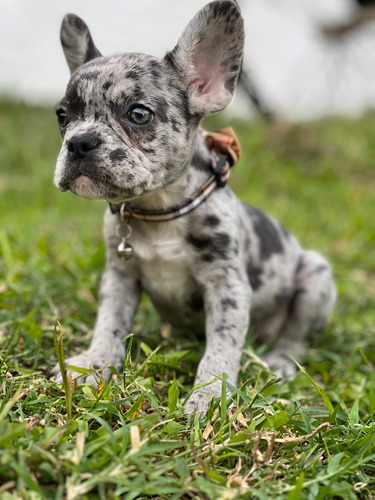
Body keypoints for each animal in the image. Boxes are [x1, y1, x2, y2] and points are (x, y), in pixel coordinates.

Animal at [51, 0, 336, 414]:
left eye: (139, 114)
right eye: (63, 115)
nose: (79, 142)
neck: (158, 209)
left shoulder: (227, 287)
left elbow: (222, 346)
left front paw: (209, 395)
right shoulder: (120, 279)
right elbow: (109, 323)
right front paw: (94, 363)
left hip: (315, 275)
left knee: (296, 335)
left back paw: (281, 359)